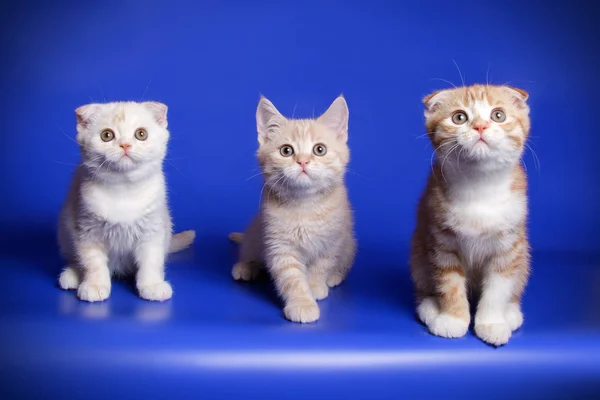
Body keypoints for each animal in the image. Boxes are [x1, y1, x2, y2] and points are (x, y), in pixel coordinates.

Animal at [56, 101, 195, 302]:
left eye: (141, 134)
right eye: (107, 135)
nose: (125, 145)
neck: (123, 190)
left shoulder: (152, 229)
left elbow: (151, 260)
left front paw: (152, 285)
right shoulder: (87, 229)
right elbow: (92, 262)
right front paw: (95, 285)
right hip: (65, 227)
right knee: (75, 257)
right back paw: (72, 275)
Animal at [227, 95, 354, 324]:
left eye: (319, 149)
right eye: (286, 151)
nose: (302, 161)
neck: (305, 205)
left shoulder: (332, 240)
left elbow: (321, 265)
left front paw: (315, 286)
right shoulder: (279, 246)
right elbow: (291, 277)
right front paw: (302, 303)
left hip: (349, 242)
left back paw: (334, 277)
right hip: (256, 234)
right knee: (252, 254)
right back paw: (245, 267)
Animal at [410, 85, 532, 346]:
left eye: (498, 115)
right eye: (459, 117)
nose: (480, 126)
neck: (480, 186)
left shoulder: (507, 247)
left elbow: (498, 288)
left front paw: (492, 323)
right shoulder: (441, 241)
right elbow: (449, 283)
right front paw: (452, 319)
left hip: (523, 254)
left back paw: (511, 313)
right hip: (417, 251)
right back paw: (430, 307)